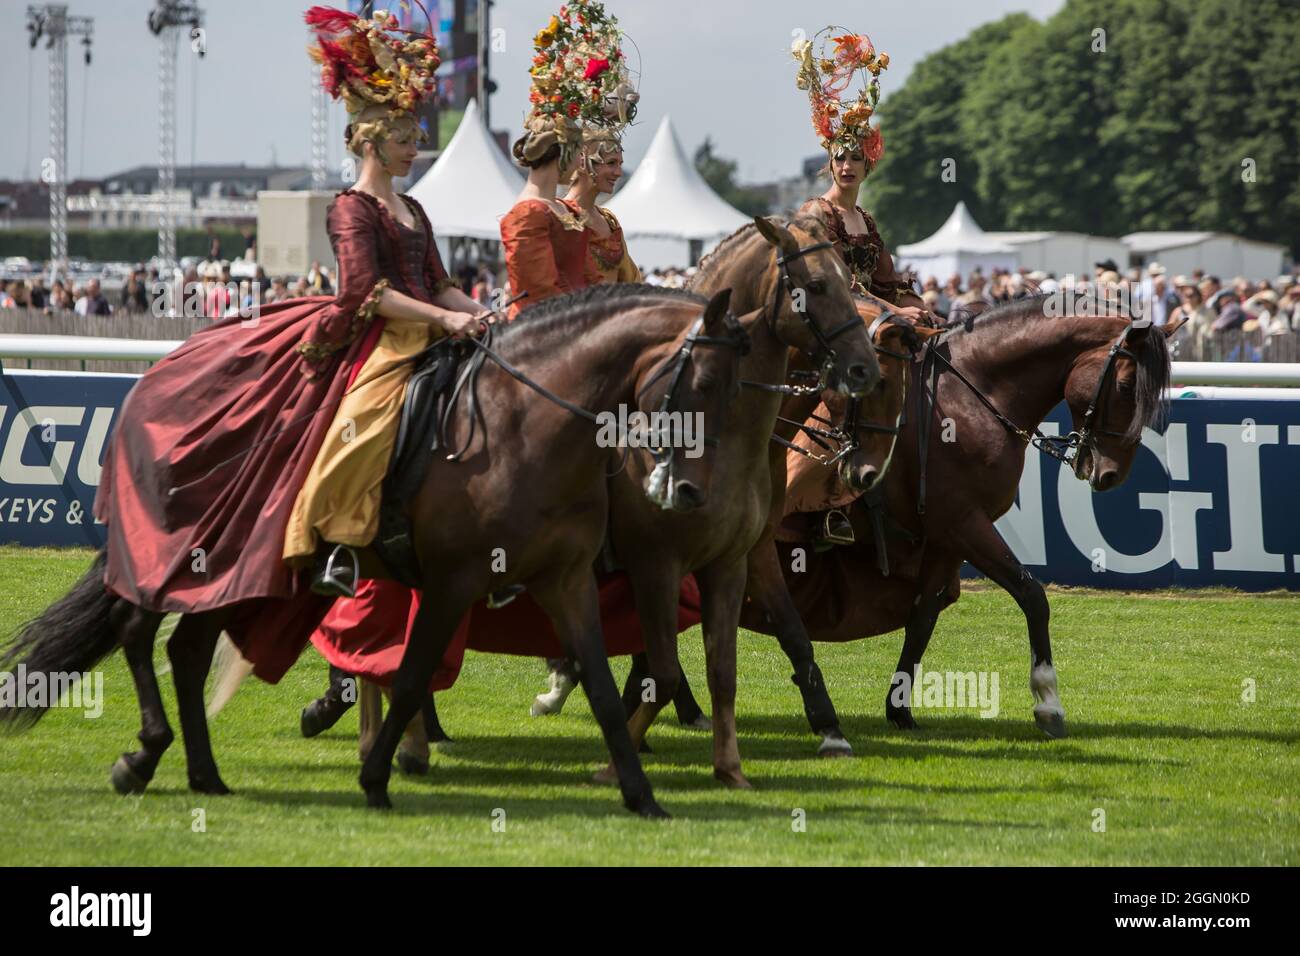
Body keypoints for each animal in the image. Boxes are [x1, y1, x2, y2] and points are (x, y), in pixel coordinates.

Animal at [0, 280, 754, 816]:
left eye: (736, 393)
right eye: (702, 384)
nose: (691, 491)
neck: (523, 422)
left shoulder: (565, 581)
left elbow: (598, 683)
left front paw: (641, 794)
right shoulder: (452, 582)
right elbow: (415, 672)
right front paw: (374, 777)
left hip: (238, 573)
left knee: (185, 649)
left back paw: (203, 773)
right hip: (192, 553)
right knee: (135, 625)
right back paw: (145, 755)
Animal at [738, 297, 1185, 733]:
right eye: (1125, 386)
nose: (1110, 474)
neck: (970, 398)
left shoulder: (946, 539)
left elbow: (922, 617)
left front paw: (899, 709)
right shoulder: (965, 524)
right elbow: (1033, 596)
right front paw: (1048, 701)